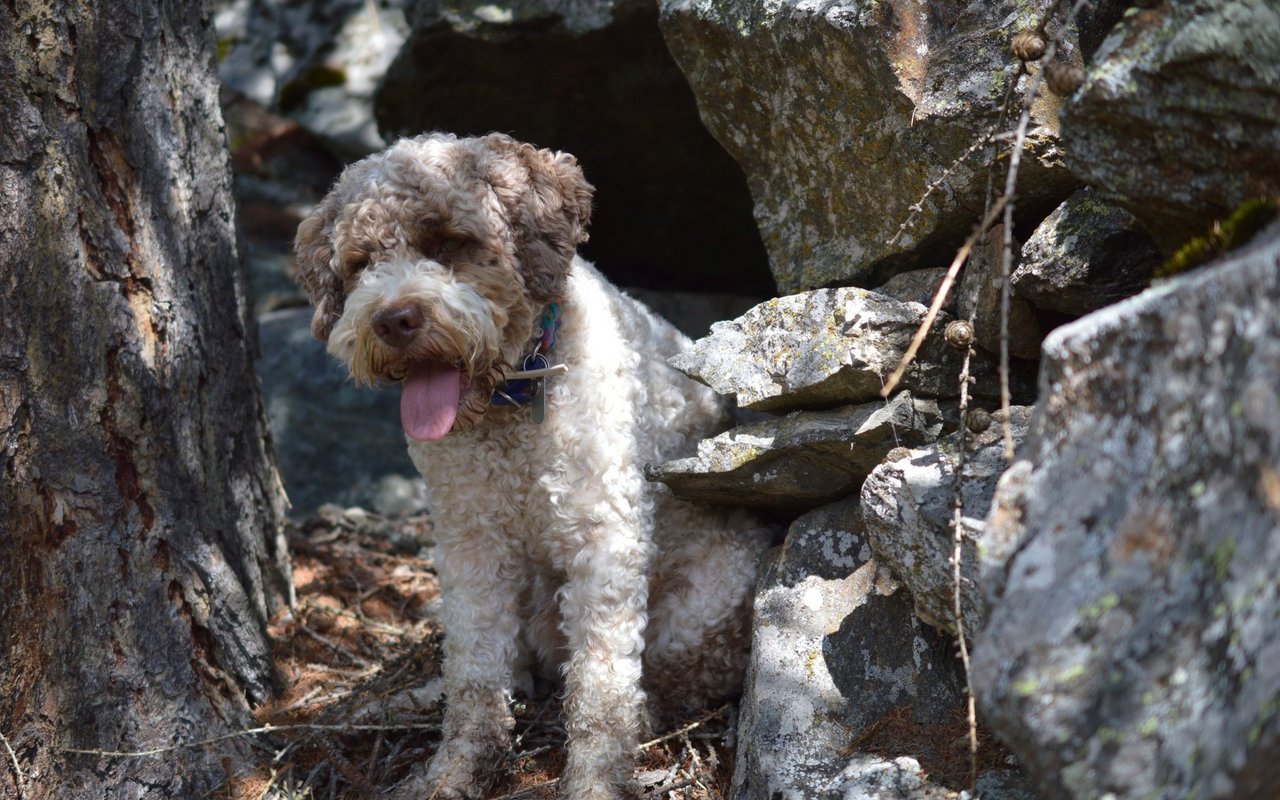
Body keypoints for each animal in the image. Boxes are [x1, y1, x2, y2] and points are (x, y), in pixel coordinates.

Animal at [293, 134, 768, 793]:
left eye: (449, 243)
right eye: (361, 262)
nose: (393, 319)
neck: (512, 400)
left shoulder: (604, 542)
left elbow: (601, 688)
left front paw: (595, 784)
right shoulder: (470, 544)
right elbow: (474, 672)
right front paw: (454, 771)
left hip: (704, 603)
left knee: (670, 678)